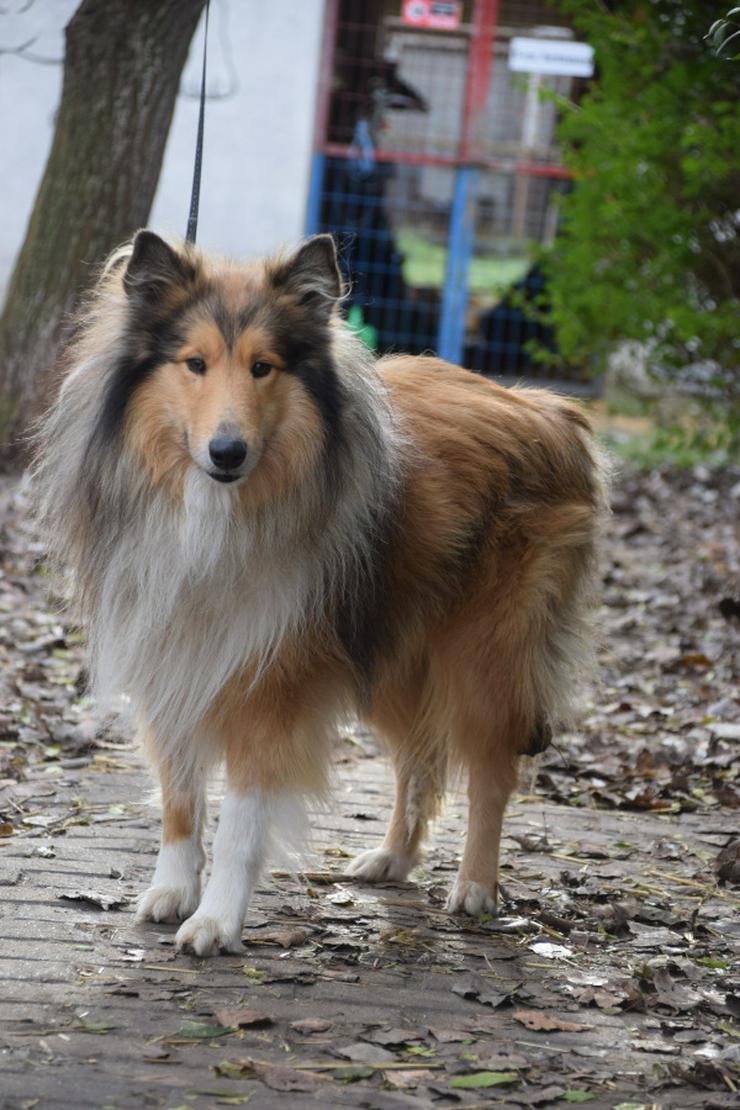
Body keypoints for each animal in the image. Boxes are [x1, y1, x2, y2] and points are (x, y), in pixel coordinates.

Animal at [34, 229, 603, 959]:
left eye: (263, 367)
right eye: (194, 364)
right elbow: (180, 799)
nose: (227, 452)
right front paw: (173, 889)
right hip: (389, 649)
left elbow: (242, 820)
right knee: (421, 757)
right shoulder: (171, 658)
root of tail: (547, 408)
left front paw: (216, 921)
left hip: (485, 655)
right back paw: (392, 858)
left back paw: (475, 887)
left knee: (490, 771)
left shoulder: (269, 682)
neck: (213, 516)